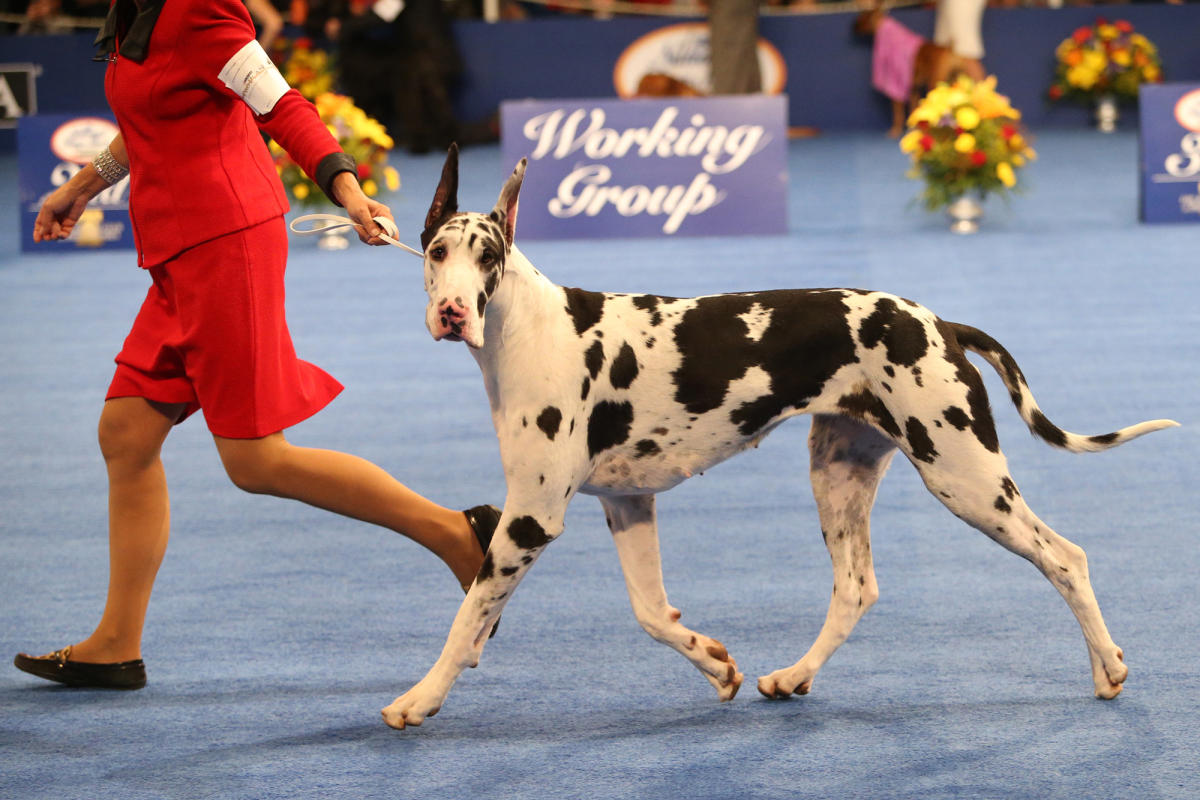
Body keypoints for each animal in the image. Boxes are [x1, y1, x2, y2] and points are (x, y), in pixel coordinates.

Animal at [379, 145, 1176, 734]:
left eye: (488, 258)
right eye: (437, 251)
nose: (454, 312)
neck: (528, 330)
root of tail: (941, 323)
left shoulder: (532, 518)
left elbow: (466, 617)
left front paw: (420, 698)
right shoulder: (626, 504)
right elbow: (651, 613)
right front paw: (715, 664)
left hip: (967, 478)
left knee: (1065, 557)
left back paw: (1109, 669)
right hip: (840, 473)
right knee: (856, 588)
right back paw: (794, 676)